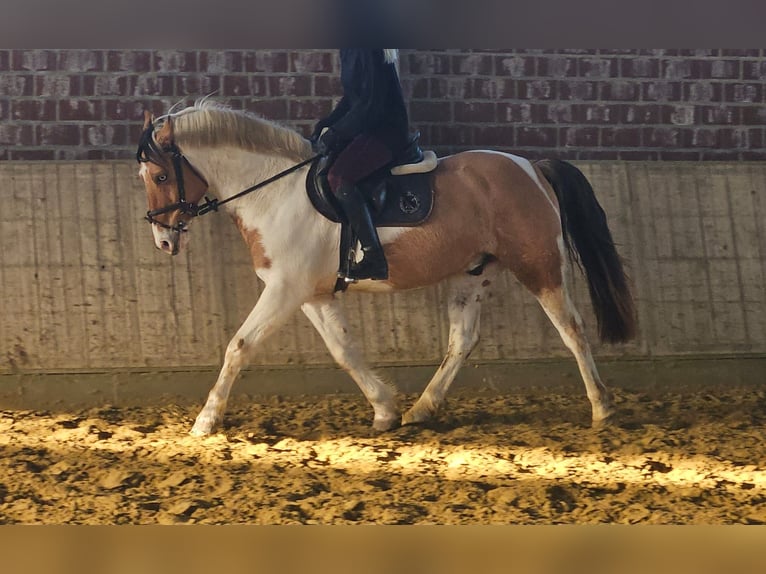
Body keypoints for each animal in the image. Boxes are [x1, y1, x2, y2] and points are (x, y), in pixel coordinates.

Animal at [136, 100, 636, 437]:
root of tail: (530, 166)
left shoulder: (284, 290)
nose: (164, 240)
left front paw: (205, 420)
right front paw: (384, 411)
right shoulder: (312, 295)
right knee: (462, 341)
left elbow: (239, 346)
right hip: (472, 272)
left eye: (160, 176)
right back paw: (421, 409)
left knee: (571, 328)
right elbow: (344, 351)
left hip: (537, 263)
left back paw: (601, 409)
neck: (273, 192)